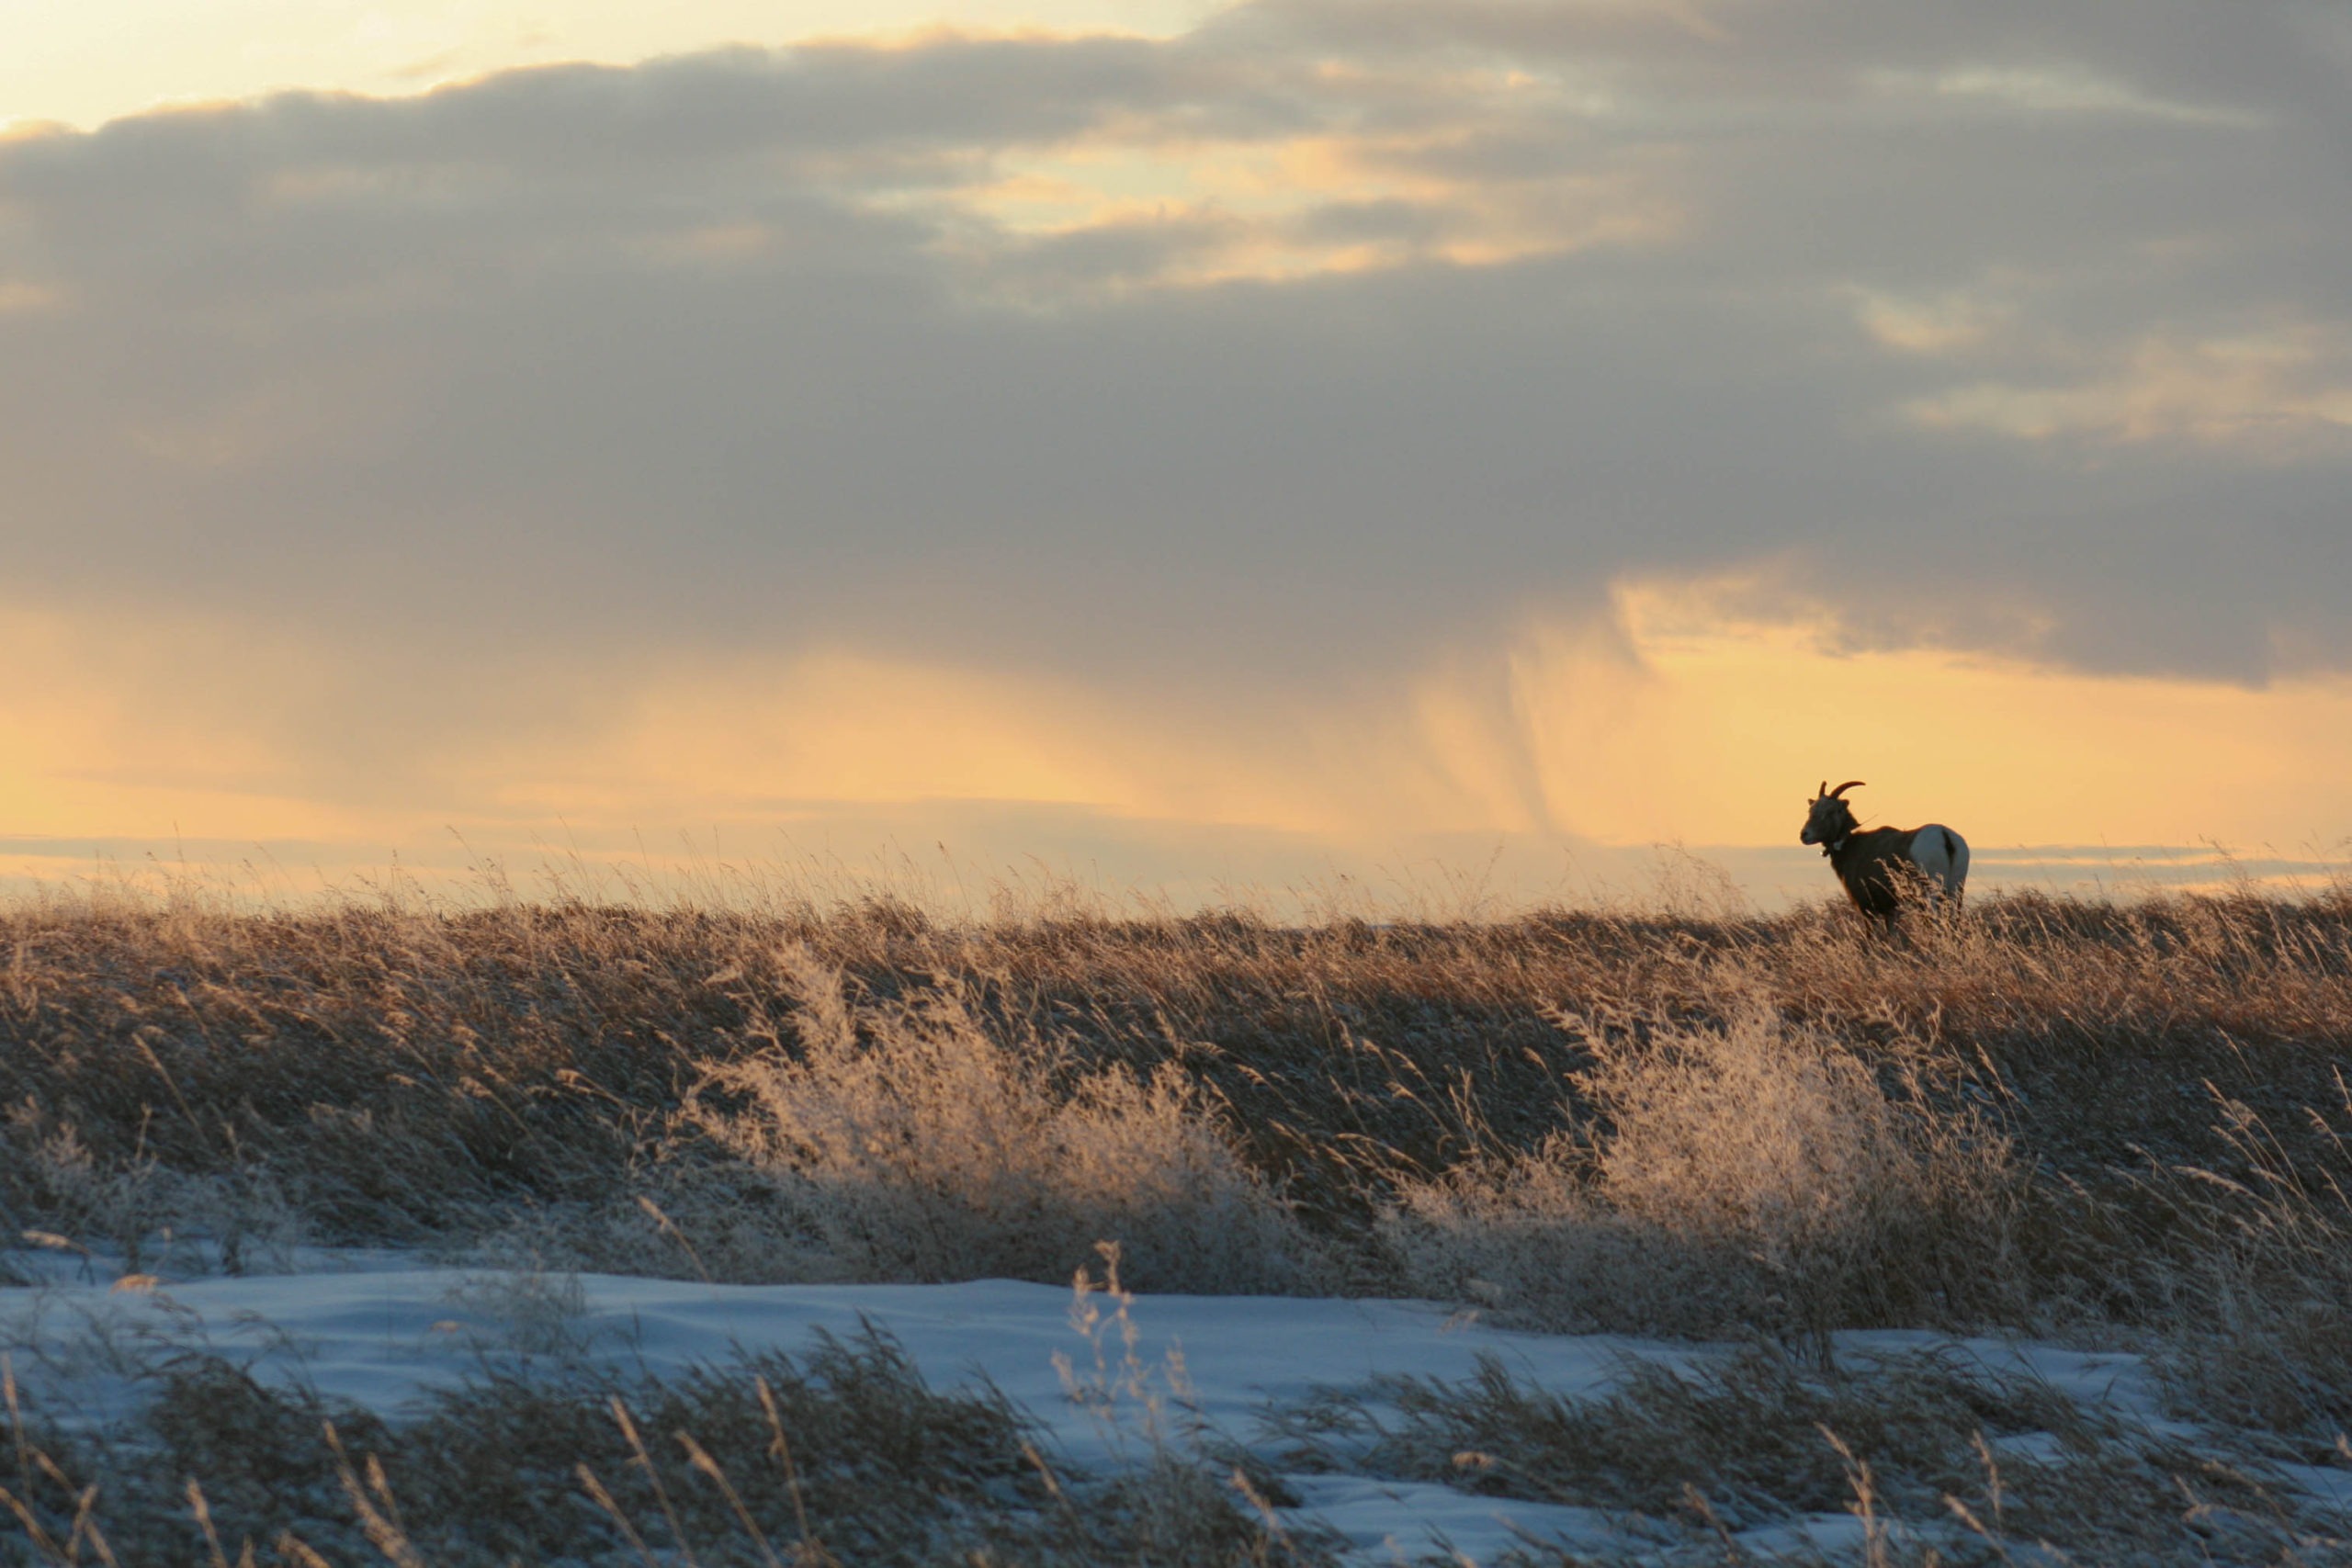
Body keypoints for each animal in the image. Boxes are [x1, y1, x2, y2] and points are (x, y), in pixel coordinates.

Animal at [1796, 780, 1966, 926]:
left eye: (1831, 811)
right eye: (1811, 810)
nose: (1805, 835)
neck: (1851, 846)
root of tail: (1945, 837)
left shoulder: (1867, 909)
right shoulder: (1890, 911)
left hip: (1931, 895)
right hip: (1955, 893)